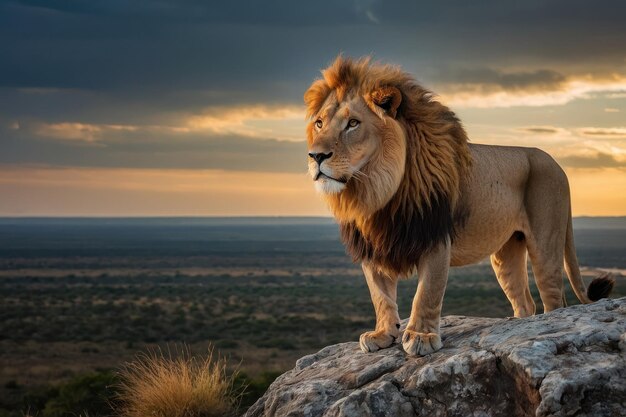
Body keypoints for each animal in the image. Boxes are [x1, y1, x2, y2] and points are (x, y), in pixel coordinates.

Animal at [304, 54, 612, 354]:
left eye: (353, 123)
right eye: (319, 123)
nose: (315, 156)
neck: (374, 191)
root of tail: (557, 164)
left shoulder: (435, 238)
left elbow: (427, 292)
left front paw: (421, 336)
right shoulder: (372, 246)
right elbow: (380, 295)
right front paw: (383, 334)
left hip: (545, 243)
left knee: (554, 300)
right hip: (506, 253)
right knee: (526, 302)